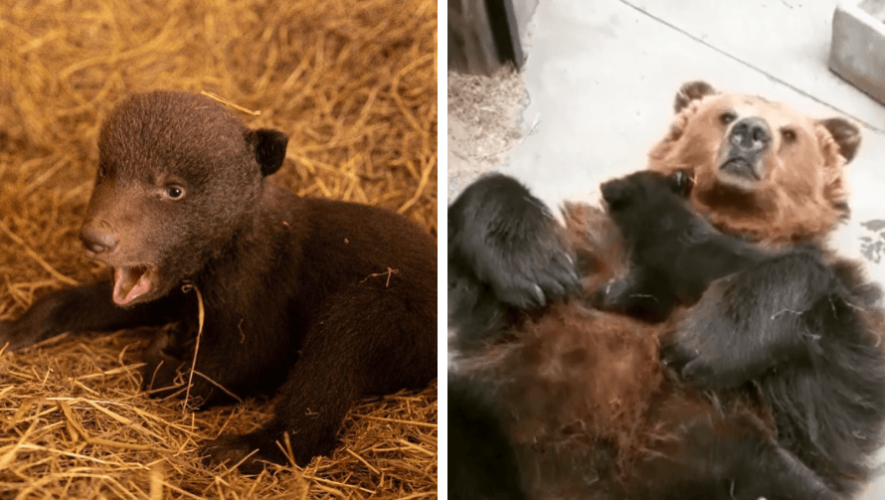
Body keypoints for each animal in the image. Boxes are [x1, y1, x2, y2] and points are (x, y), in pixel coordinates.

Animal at [0, 90, 438, 473]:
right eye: (106, 170)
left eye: (174, 190)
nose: (96, 238)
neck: (225, 248)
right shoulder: (179, 287)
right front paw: (16, 328)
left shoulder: (258, 283)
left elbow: (244, 360)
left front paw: (164, 354)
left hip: (393, 313)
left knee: (338, 355)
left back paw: (240, 449)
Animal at [448, 81, 885, 499]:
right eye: (726, 114)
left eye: (791, 132)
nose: (750, 132)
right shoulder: (589, 254)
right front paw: (534, 266)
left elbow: (849, 374)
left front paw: (700, 342)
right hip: (494, 421)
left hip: (732, 460)